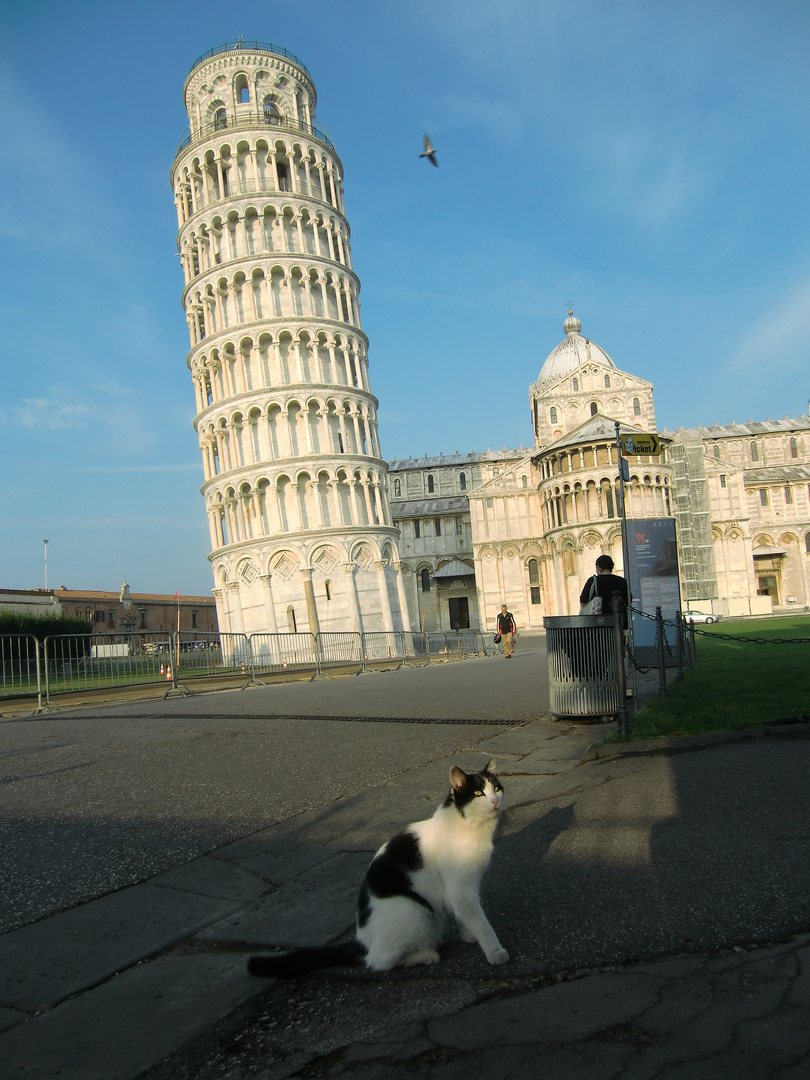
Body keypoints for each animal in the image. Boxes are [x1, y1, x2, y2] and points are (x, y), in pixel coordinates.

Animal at [250, 760, 509, 980]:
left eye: (496, 788)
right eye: (478, 793)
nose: (495, 801)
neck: (469, 827)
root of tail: (362, 942)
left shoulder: (463, 888)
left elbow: (464, 916)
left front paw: (469, 936)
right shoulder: (460, 889)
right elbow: (480, 922)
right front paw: (494, 950)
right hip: (412, 908)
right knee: (380, 962)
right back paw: (424, 955)